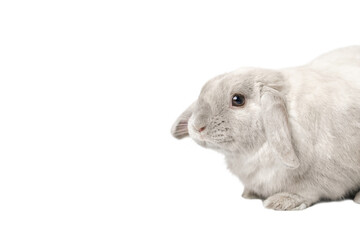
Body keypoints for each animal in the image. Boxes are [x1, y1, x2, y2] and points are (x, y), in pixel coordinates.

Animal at [170, 45, 360, 210]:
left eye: (238, 99)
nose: (197, 126)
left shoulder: (321, 178)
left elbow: (307, 191)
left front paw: (281, 202)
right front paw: (249, 194)